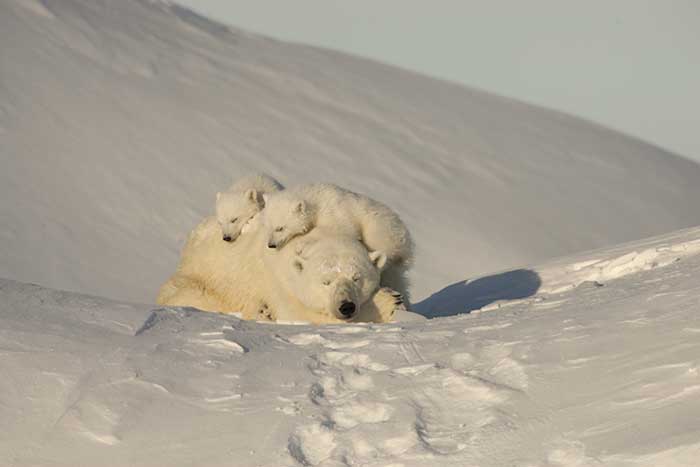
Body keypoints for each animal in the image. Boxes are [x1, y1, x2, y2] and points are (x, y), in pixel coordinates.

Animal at [155, 217, 402, 324]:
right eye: (326, 281)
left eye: (357, 278)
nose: (346, 306)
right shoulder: (281, 283)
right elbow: (304, 315)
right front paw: (389, 302)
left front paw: (393, 298)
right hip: (198, 279)